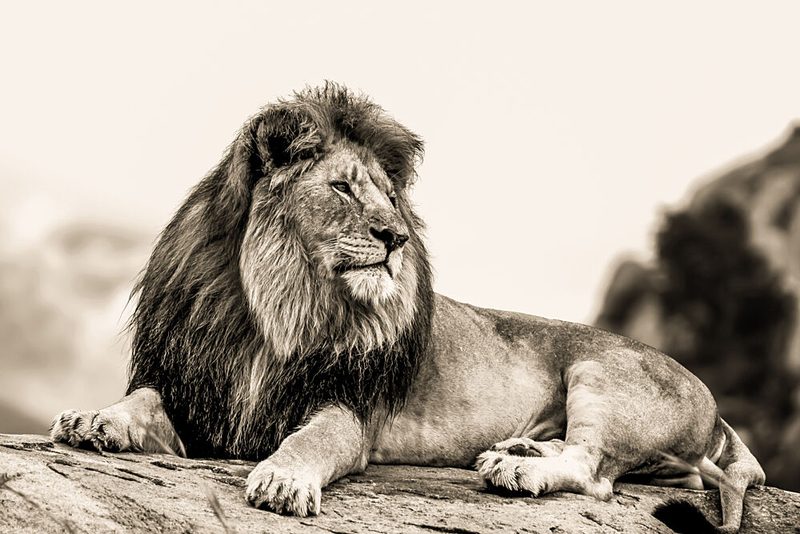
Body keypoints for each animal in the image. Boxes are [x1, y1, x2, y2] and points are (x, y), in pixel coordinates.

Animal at [50, 83, 764, 532]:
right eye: (342, 187)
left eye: (390, 199)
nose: (395, 237)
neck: (272, 307)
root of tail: (716, 413)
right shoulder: (189, 384)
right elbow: (141, 400)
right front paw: (93, 420)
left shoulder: (349, 409)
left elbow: (309, 439)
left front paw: (283, 480)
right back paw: (520, 447)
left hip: (603, 375)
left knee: (595, 472)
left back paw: (515, 469)